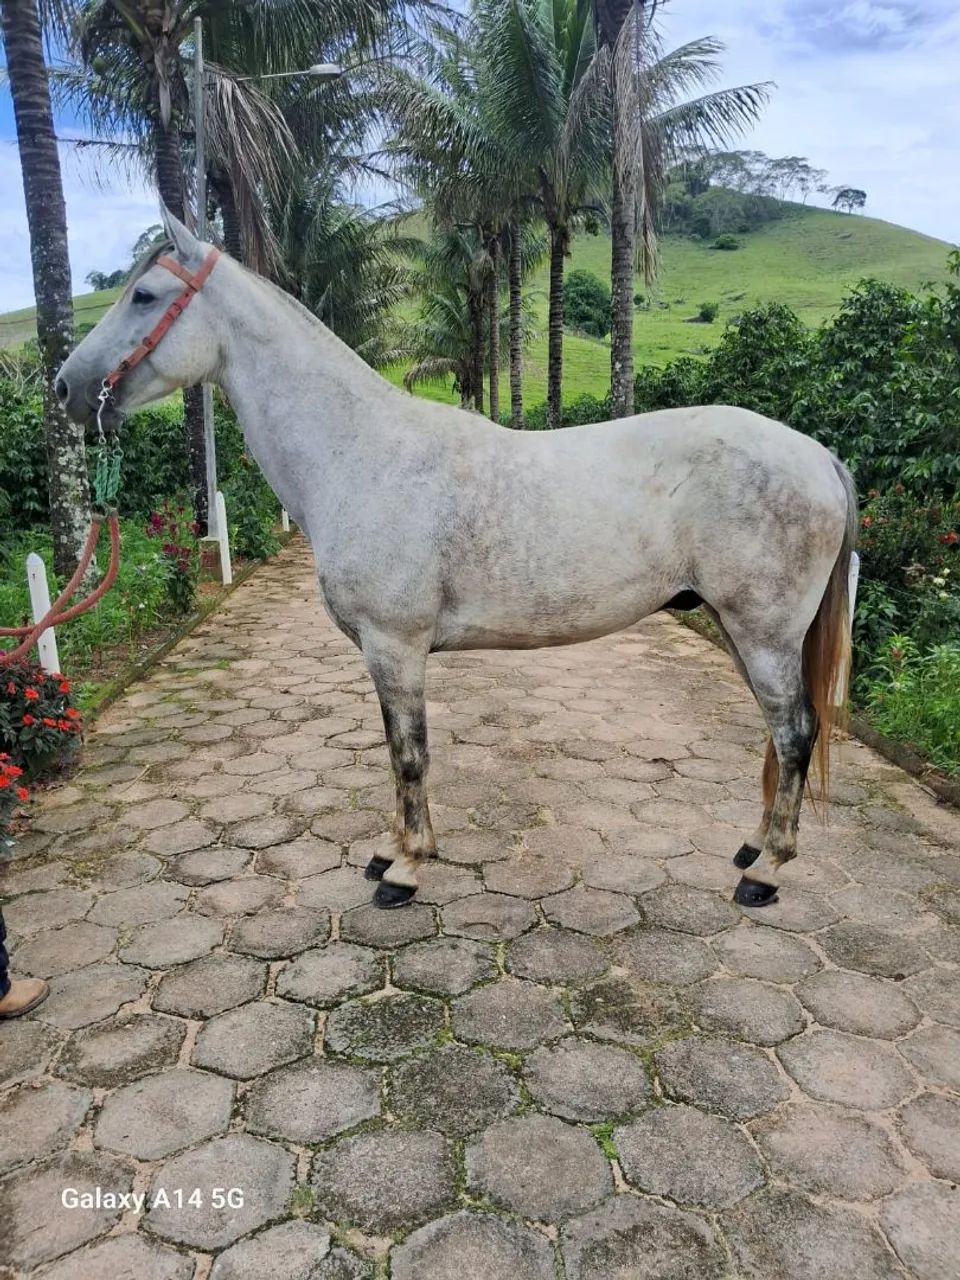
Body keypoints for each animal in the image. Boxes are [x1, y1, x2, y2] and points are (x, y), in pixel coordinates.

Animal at [56, 208, 856, 912]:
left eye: (144, 296)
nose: (66, 387)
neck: (358, 452)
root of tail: (817, 455)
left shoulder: (395, 645)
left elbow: (409, 754)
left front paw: (405, 870)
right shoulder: (384, 652)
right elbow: (395, 750)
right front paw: (391, 849)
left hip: (763, 633)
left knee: (794, 734)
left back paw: (767, 872)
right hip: (739, 628)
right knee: (781, 735)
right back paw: (752, 848)